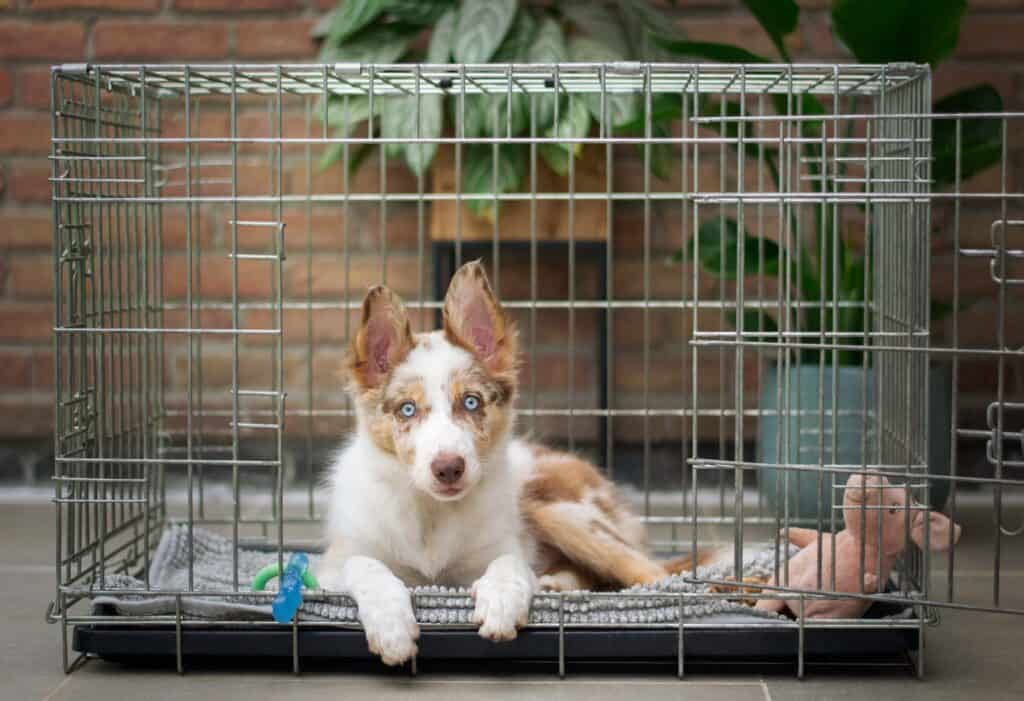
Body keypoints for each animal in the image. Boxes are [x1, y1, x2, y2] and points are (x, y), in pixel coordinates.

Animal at [315, 259, 675, 663]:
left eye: (471, 402)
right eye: (407, 409)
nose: (449, 468)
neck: (431, 513)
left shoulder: (502, 548)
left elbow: (509, 564)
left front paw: (500, 602)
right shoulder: (332, 564)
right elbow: (366, 567)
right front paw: (391, 626)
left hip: (558, 509)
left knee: (655, 572)